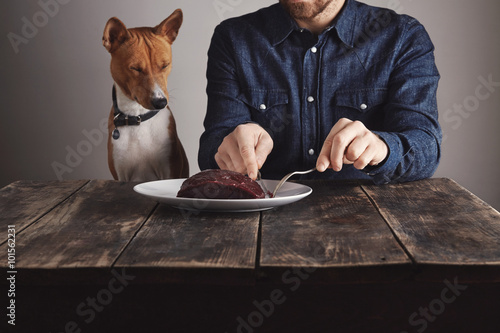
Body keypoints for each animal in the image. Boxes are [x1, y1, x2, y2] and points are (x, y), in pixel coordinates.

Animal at [102, 9, 188, 182]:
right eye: (135, 68)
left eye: (165, 65)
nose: (160, 102)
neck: (138, 118)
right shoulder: (121, 175)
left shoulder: (168, 171)